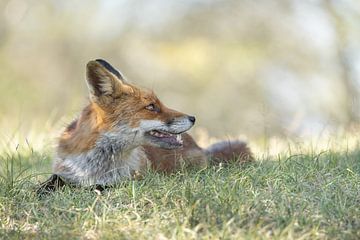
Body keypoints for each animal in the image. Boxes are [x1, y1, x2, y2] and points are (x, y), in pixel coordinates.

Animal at [35, 59, 250, 194]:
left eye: (158, 104)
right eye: (152, 107)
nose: (193, 118)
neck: (97, 165)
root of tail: (200, 147)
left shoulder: (133, 179)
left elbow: (98, 187)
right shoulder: (64, 171)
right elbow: (50, 182)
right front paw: (38, 190)